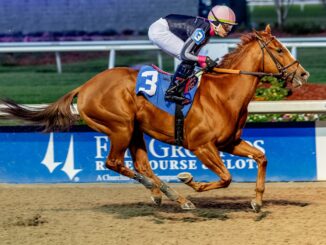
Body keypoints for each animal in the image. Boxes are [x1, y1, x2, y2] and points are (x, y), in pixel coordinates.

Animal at [0, 25, 310, 212]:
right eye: (279, 49)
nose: (303, 74)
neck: (223, 94)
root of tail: (85, 86)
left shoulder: (229, 142)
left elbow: (261, 158)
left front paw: (257, 202)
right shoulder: (201, 146)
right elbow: (226, 177)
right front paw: (192, 181)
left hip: (135, 130)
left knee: (141, 165)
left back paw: (169, 194)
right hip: (120, 127)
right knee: (114, 163)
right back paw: (167, 192)